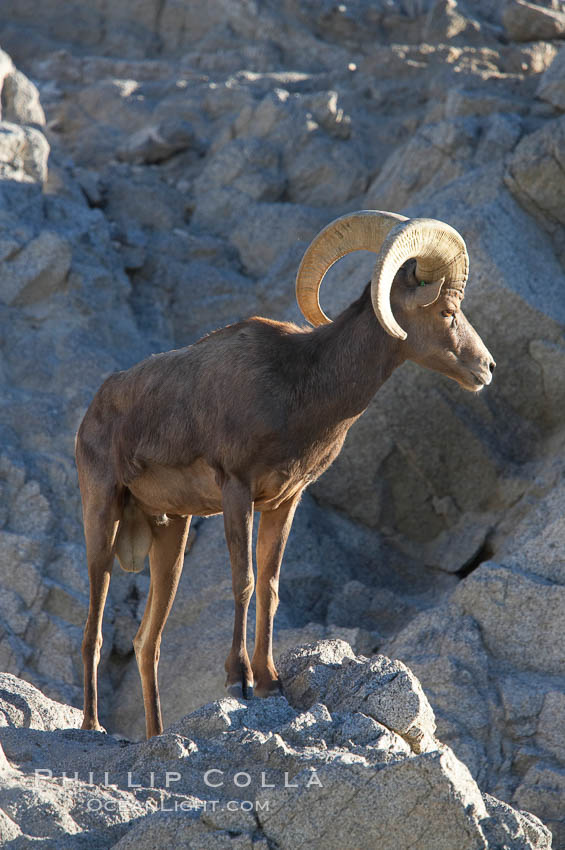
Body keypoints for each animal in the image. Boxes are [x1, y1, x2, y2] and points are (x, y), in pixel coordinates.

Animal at [76, 210, 494, 736]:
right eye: (447, 313)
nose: (486, 369)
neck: (301, 388)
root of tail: (92, 411)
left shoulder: (283, 501)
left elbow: (271, 588)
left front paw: (269, 681)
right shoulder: (237, 491)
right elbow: (245, 581)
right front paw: (238, 680)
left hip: (170, 535)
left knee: (145, 642)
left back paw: (155, 734)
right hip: (102, 521)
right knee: (93, 631)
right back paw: (92, 726)